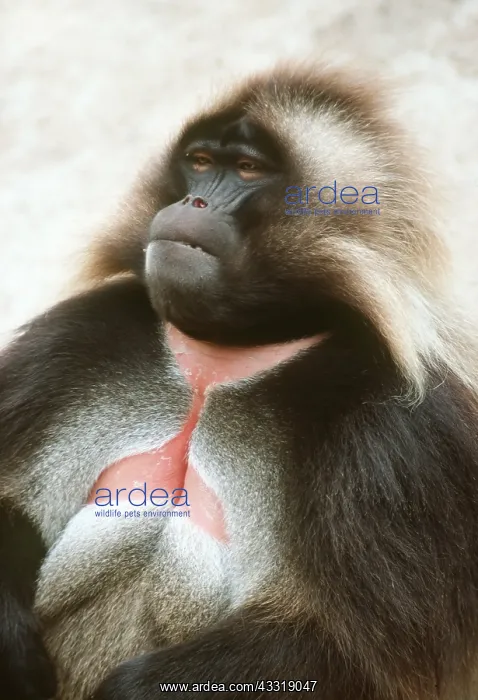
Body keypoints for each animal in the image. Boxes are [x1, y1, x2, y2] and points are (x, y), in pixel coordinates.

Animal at [1, 64, 478, 700]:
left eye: (248, 169)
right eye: (201, 161)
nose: (192, 200)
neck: (222, 357)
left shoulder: (404, 441)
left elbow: (348, 652)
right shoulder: (71, 342)